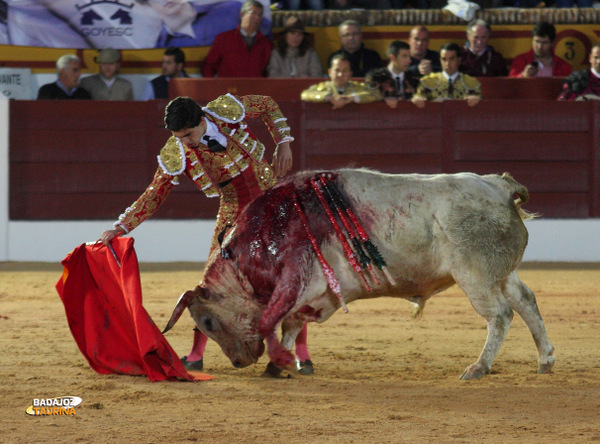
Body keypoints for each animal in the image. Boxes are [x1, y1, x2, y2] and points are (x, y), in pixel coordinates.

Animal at [163, 168, 552, 380]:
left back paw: (478, 367)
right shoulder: (315, 292)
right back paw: (545, 359)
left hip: (474, 275)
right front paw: (280, 365)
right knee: (526, 301)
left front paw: (280, 362)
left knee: (500, 314)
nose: (238, 361)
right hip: (501, 273)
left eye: (208, 322)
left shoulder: (297, 277)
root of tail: (498, 186)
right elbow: (291, 323)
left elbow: (273, 318)